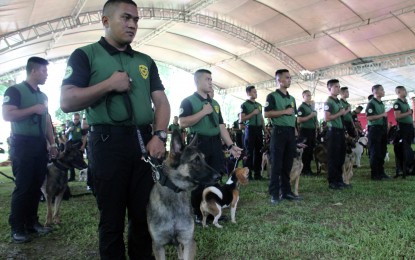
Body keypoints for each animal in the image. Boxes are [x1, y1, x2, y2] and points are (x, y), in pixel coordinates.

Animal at [149, 132, 223, 260]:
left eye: (204, 159)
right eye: (196, 160)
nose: (219, 176)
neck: (175, 194)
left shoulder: (188, 242)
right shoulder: (158, 246)